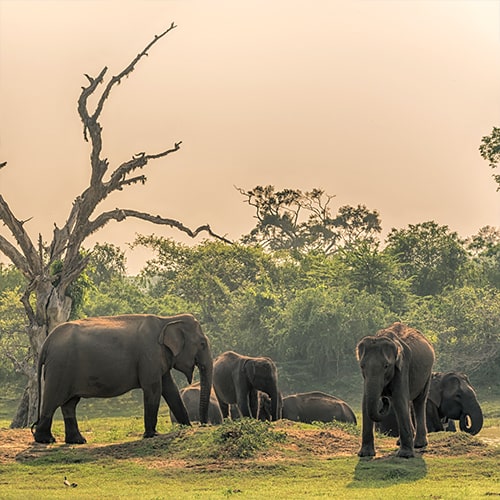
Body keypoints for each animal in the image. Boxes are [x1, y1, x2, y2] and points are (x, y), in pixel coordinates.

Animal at [32, 314, 213, 444]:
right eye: (203, 344)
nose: (204, 425)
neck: (167, 319)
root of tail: (47, 341)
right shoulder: (149, 355)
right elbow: (153, 388)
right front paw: (152, 435)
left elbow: (170, 389)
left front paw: (186, 427)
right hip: (60, 368)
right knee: (53, 400)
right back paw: (46, 440)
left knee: (70, 404)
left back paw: (78, 441)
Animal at [356, 322, 434, 458]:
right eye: (362, 366)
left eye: (386, 366)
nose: (384, 399)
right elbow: (365, 402)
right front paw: (364, 454)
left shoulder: (403, 366)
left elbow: (399, 399)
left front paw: (405, 455)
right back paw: (401, 442)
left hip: (427, 374)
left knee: (419, 401)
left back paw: (419, 444)